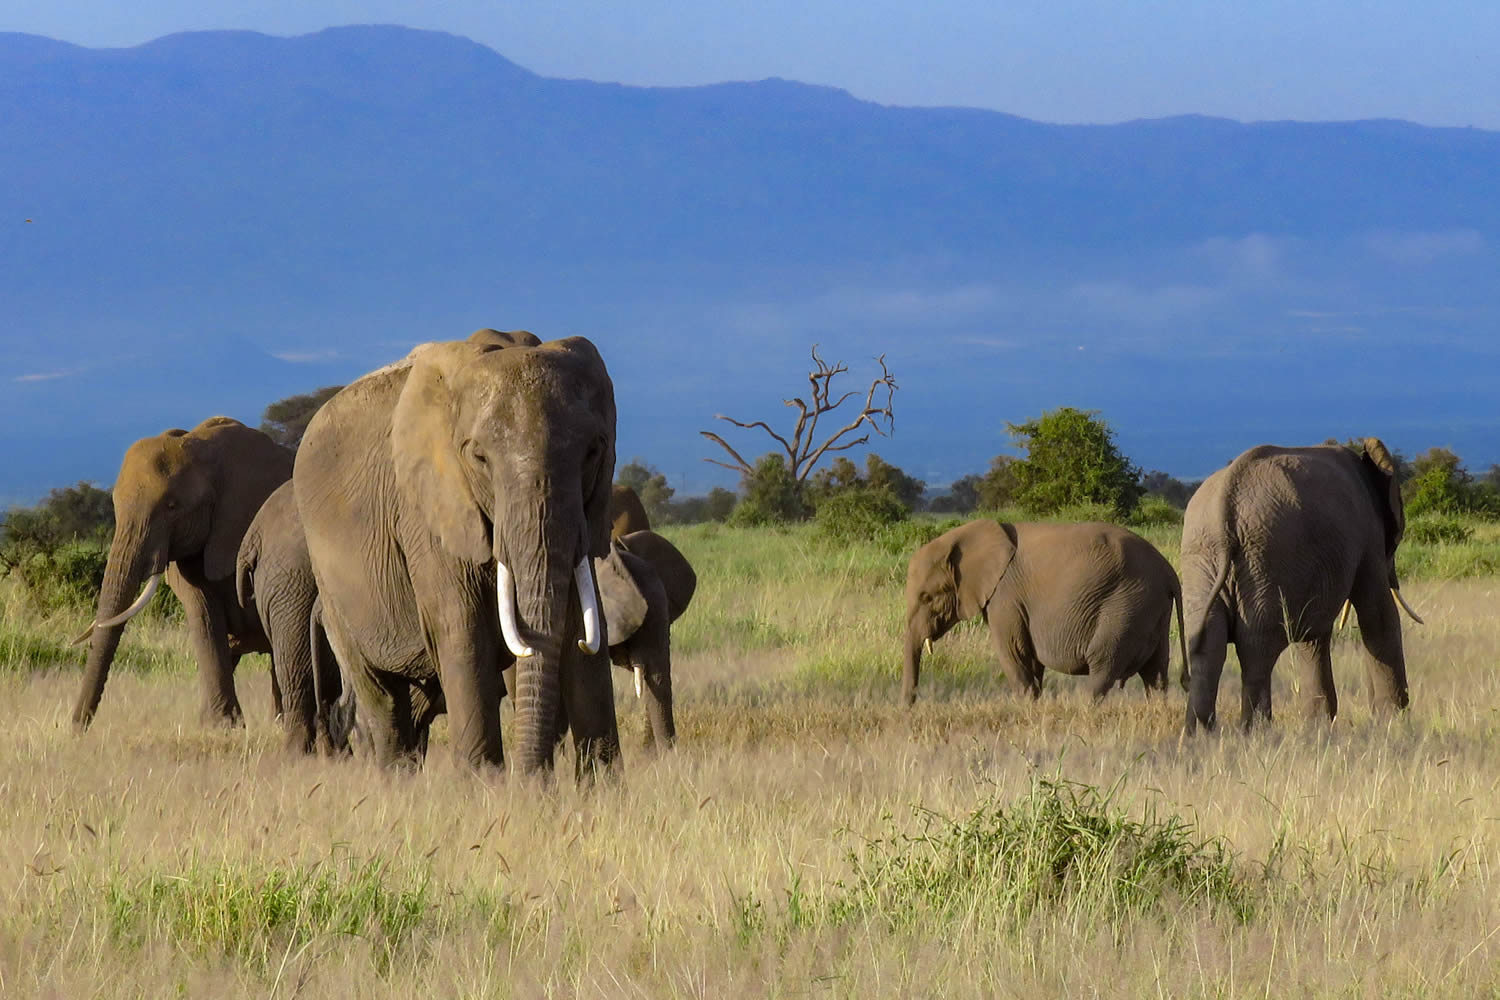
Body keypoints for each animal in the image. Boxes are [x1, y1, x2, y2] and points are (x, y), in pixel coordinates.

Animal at [293, 329, 621, 775]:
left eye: (592, 453)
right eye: (479, 457)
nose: (532, 781)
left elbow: (583, 626)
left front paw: (601, 783)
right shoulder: (425, 511)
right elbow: (462, 628)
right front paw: (483, 784)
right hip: (332, 592)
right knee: (381, 699)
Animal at [902, 519, 1187, 704]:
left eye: (927, 597)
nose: (909, 709)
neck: (965, 535)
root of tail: (1168, 571)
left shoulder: (1005, 596)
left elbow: (1014, 651)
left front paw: (1027, 709)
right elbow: (1030, 658)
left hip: (1126, 605)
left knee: (1102, 665)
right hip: (1152, 608)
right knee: (1156, 673)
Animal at [1182, 439, 1419, 732]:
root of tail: (1224, 510)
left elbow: (1313, 636)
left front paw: (1318, 725)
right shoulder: (1368, 535)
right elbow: (1378, 615)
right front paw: (1394, 721)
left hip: (1203, 562)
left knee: (1207, 650)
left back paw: (1200, 734)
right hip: (1265, 562)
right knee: (1256, 650)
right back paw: (1255, 731)